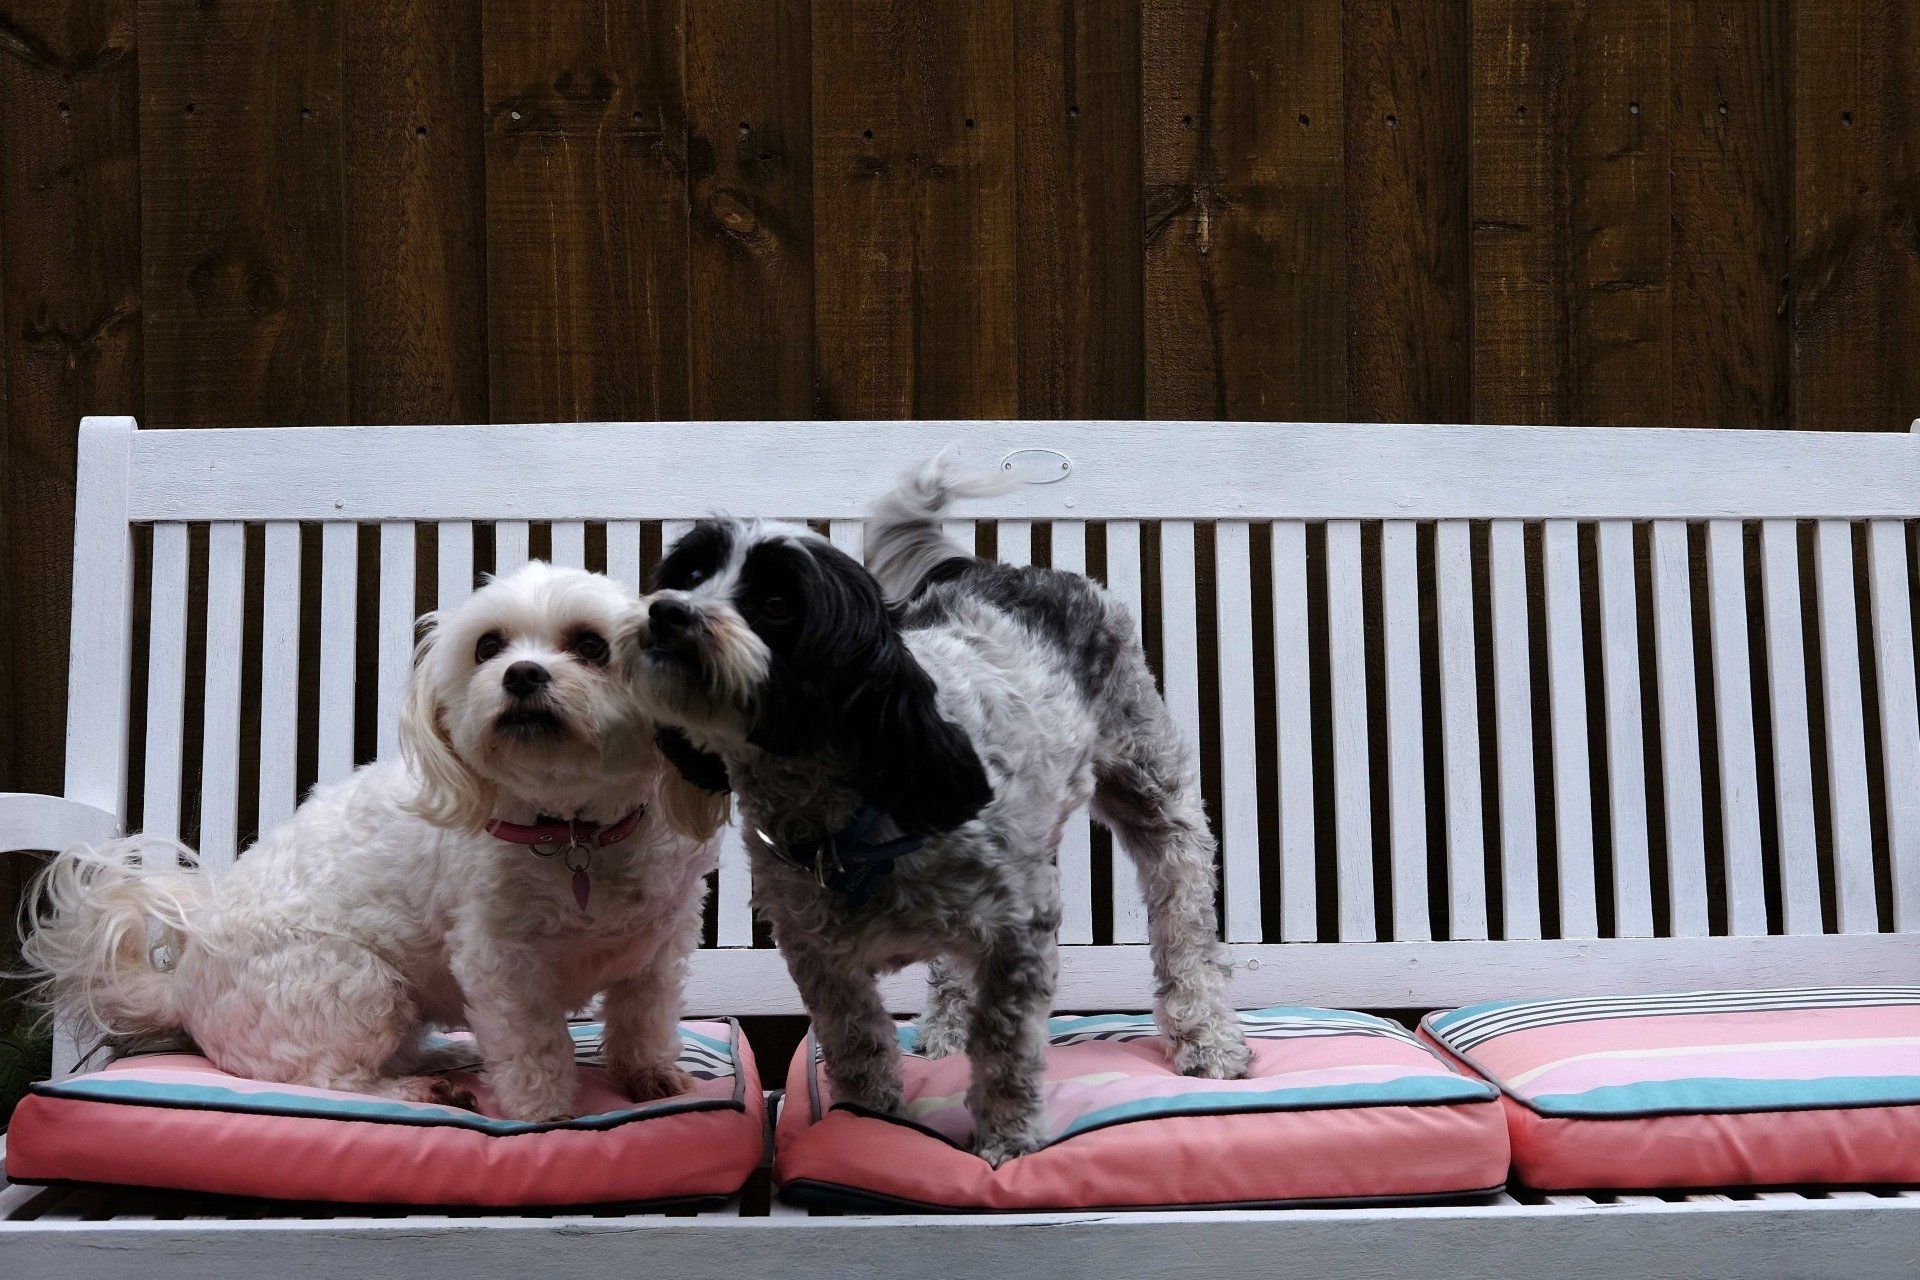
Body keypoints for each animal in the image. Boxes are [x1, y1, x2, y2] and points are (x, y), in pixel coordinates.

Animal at [22, 564, 725, 1120]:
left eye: (591, 645)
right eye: (488, 646)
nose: (521, 674)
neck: (576, 829)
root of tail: (184, 985)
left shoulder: (661, 943)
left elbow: (645, 1016)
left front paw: (651, 1074)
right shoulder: (501, 961)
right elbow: (532, 1044)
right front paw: (545, 1114)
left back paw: (441, 1057)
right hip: (356, 984)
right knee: (334, 1078)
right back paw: (417, 1090)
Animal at [629, 458, 1251, 1159]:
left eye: (778, 603)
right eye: (687, 576)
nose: (666, 612)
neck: (859, 811)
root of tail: (1002, 569)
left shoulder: (1020, 927)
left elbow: (1005, 1045)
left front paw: (1007, 1143)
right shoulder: (817, 952)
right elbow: (857, 1041)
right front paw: (866, 1120)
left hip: (1152, 792)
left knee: (1185, 923)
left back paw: (1207, 1039)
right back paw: (946, 1027)